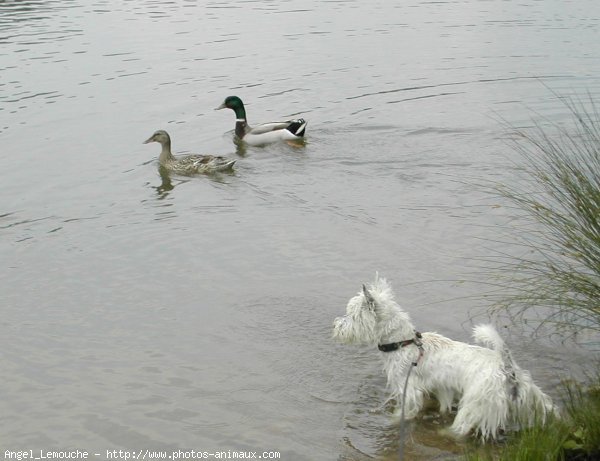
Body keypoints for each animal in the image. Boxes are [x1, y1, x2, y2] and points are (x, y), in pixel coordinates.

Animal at [330, 274, 556, 438]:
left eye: (352, 316)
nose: (337, 326)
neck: (402, 342)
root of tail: (507, 368)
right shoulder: (441, 387)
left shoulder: (408, 389)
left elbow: (403, 413)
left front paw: (391, 421)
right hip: (529, 396)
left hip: (476, 401)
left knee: (462, 427)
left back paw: (445, 432)